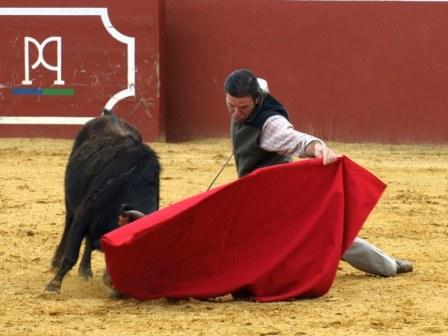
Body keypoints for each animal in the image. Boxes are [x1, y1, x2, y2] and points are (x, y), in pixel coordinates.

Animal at [45, 111, 160, 294]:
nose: (115, 285)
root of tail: (109, 116)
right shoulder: (84, 212)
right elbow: (71, 255)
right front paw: (53, 286)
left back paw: (85, 271)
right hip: (70, 201)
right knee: (68, 225)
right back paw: (56, 262)